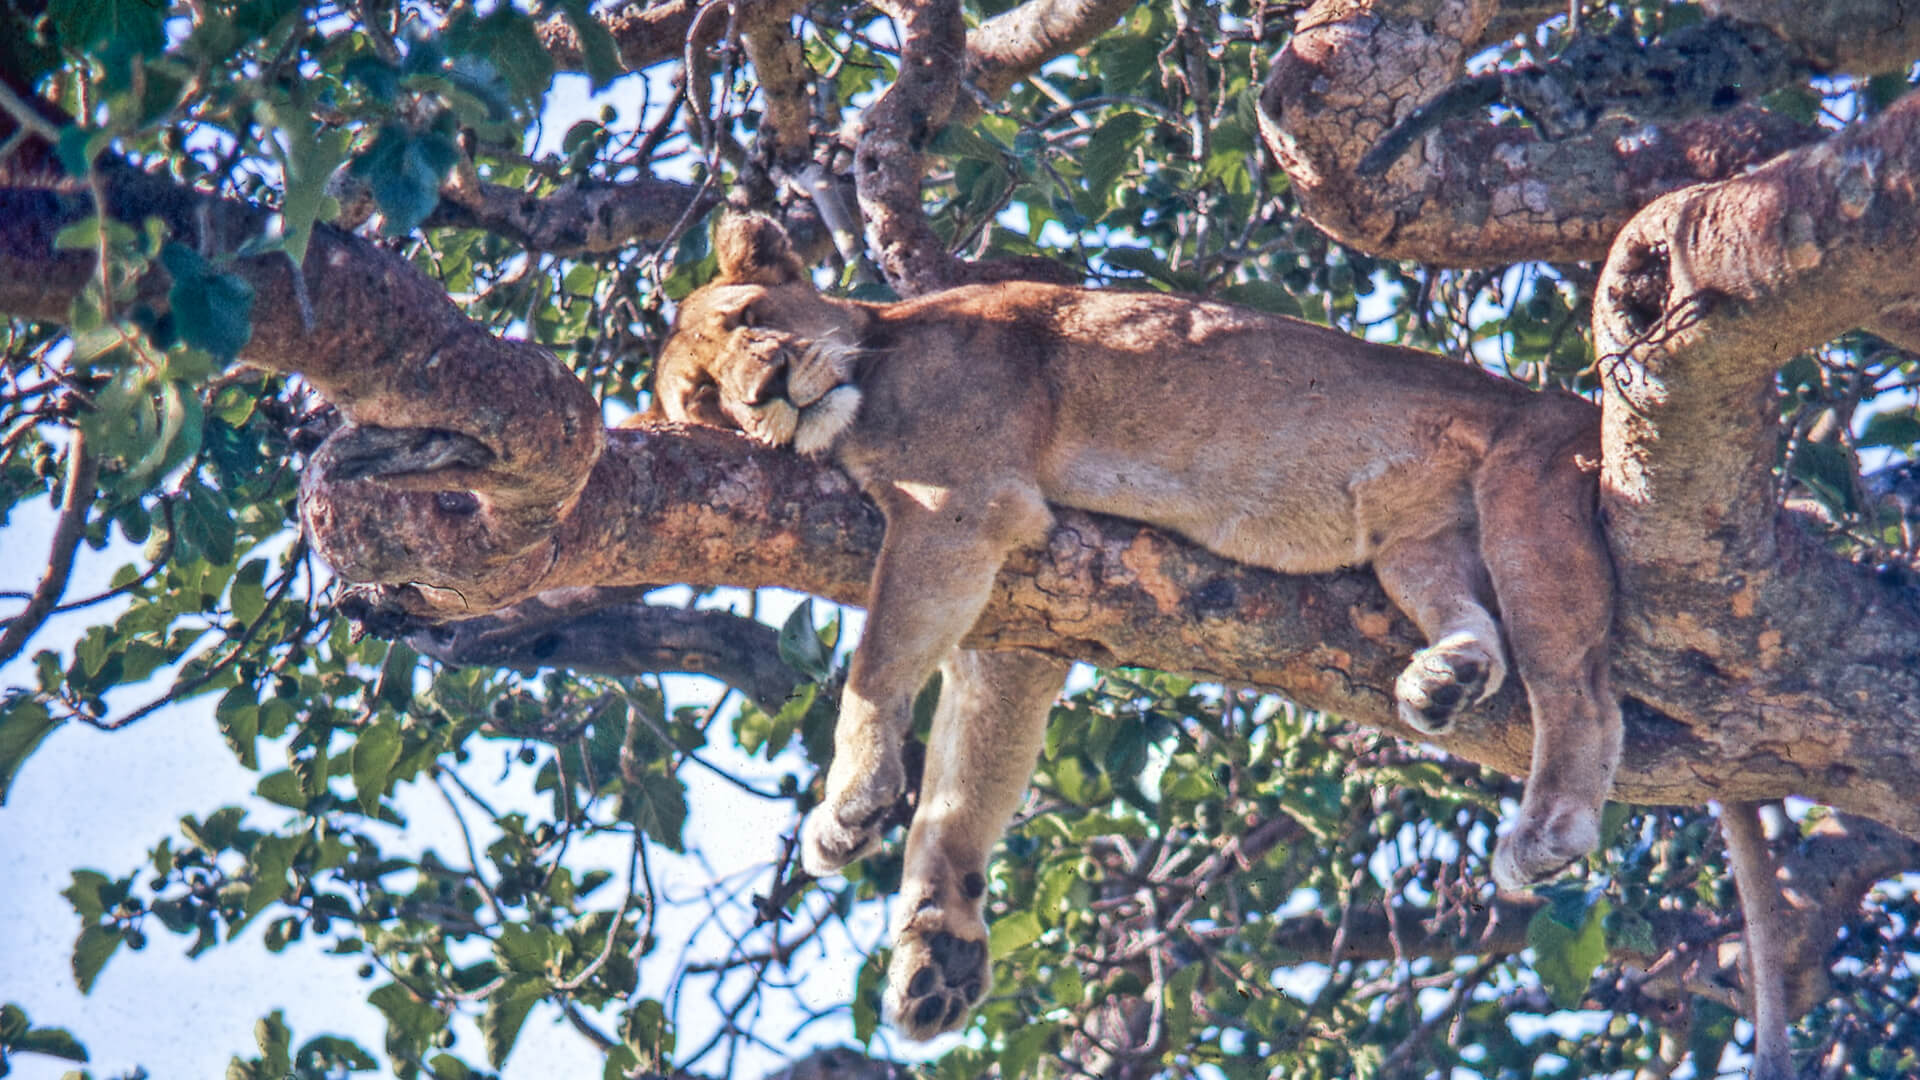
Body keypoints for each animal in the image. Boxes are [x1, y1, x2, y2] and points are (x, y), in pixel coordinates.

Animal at [647, 214, 1620, 1041]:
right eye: (706, 397)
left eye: (749, 317)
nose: (768, 388)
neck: (875, 357)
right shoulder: (1011, 628)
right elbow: (962, 788)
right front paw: (939, 946)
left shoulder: (957, 503)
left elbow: (876, 666)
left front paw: (849, 800)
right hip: (1416, 546)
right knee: (1474, 620)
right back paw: (1444, 676)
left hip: (1530, 486)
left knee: (1579, 691)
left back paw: (1548, 831)